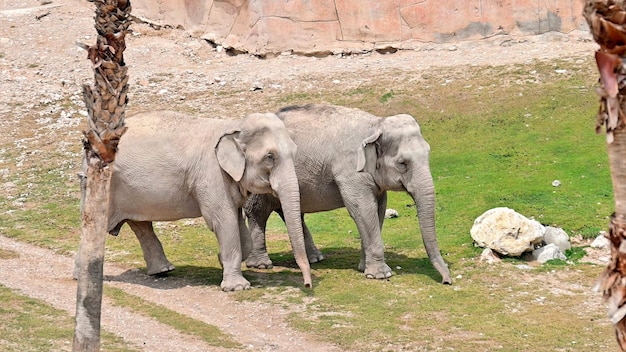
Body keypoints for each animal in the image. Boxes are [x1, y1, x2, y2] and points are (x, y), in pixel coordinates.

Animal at [77, 110, 310, 292]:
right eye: (270, 157)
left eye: (295, 152)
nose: (307, 285)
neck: (234, 124)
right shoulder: (211, 174)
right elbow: (222, 220)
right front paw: (237, 287)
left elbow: (236, 222)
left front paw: (221, 259)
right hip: (103, 187)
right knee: (98, 225)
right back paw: (83, 277)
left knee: (141, 226)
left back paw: (162, 271)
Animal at [241, 104, 450, 284]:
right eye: (402, 163)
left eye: (428, 154)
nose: (446, 281)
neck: (375, 124)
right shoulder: (350, 170)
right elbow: (363, 208)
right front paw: (381, 275)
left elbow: (379, 208)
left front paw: (364, 269)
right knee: (258, 211)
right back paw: (261, 264)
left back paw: (314, 259)